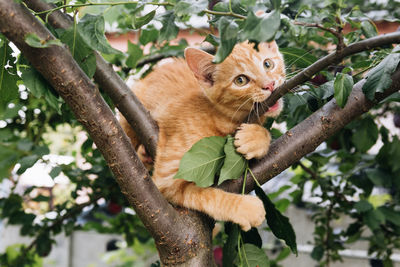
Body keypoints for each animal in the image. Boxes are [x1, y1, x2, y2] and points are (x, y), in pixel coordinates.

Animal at [120, 40, 286, 231]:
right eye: (240, 80)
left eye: (268, 64)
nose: (270, 85)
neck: (223, 119)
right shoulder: (166, 181)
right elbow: (205, 195)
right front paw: (245, 207)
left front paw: (255, 138)